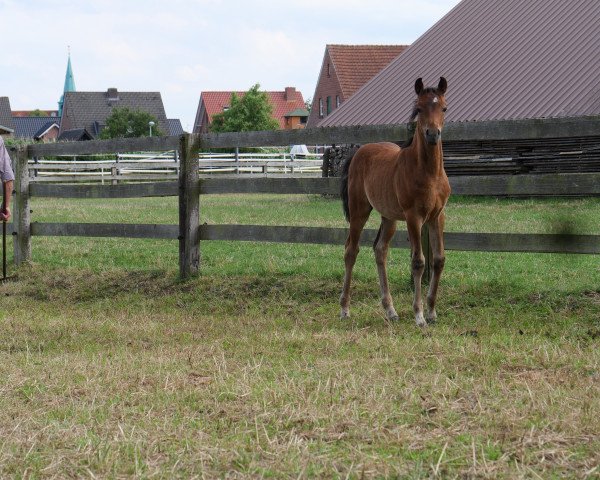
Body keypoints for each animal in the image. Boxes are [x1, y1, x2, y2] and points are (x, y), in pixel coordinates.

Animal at [342, 78, 450, 326]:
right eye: (418, 109)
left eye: (444, 108)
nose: (432, 134)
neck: (430, 173)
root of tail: (359, 152)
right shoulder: (414, 217)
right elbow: (418, 261)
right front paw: (419, 315)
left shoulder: (437, 216)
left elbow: (438, 260)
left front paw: (432, 311)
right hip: (359, 211)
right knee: (351, 251)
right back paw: (344, 308)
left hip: (389, 217)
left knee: (380, 250)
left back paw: (390, 310)